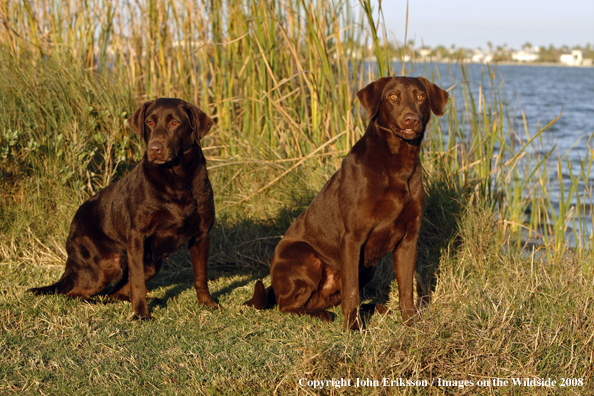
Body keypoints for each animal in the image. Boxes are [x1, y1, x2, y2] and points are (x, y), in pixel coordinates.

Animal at [28, 98, 219, 318]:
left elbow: (201, 276)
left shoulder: (202, 234)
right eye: (149, 122)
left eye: (175, 123)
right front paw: (141, 314)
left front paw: (207, 303)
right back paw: (97, 303)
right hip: (109, 262)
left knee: (113, 293)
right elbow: (137, 283)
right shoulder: (137, 236)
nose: (155, 149)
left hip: (151, 264)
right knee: (76, 293)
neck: (176, 177)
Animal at [243, 76, 446, 330]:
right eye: (393, 96)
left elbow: (406, 288)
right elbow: (351, 291)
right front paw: (353, 327)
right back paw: (322, 314)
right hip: (306, 257)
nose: (411, 118)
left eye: (420, 97)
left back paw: (374, 307)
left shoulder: (408, 239)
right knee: (287, 306)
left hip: (368, 268)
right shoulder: (352, 238)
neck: (398, 163)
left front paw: (410, 322)